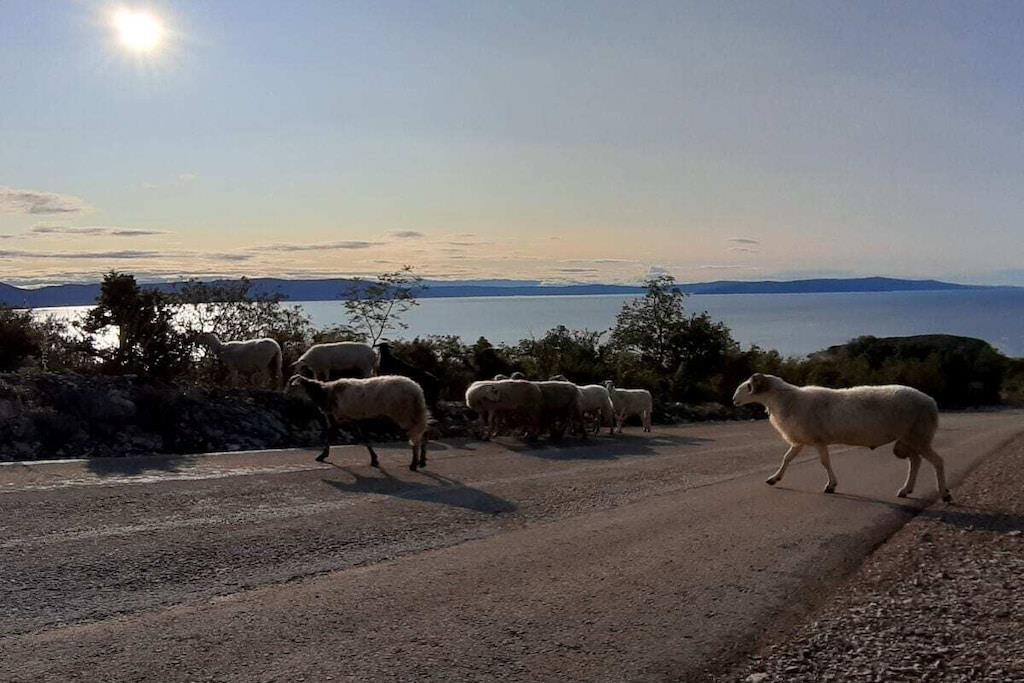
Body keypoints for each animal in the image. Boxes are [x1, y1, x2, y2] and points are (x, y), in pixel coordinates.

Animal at [285, 374, 429, 471]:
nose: (284, 396)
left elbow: (330, 435)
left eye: (291, 386)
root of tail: (417, 390)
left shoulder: (337, 417)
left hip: (404, 414)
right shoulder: (352, 419)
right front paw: (374, 459)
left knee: (416, 437)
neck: (324, 393)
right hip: (413, 414)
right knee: (423, 434)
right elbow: (363, 437)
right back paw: (422, 461)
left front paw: (322, 456)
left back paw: (414, 464)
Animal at [732, 373, 951, 502]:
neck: (784, 400)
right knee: (916, 461)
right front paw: (774, 478)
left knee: (937, 461)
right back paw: (906, 490)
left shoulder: (818, 440)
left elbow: (824, 462)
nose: (733, 400)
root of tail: (931, 402)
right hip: (911, 438)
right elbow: (787, 458)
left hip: (919, 435)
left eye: (748, 386)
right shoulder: (801, 440)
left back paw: (944, 493)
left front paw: (831, 485)